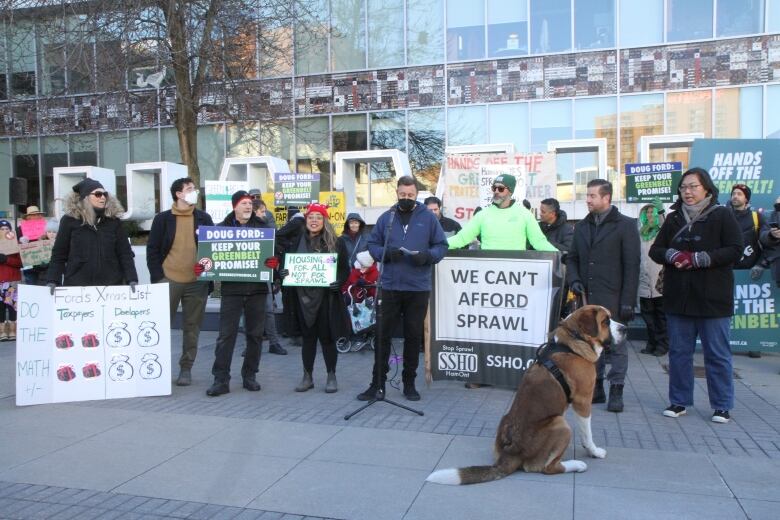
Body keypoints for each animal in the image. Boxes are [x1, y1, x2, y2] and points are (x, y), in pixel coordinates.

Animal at [424, 302, 624, 486]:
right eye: (605, 321)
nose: (625, 328)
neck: (572, 341)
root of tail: (511, 452)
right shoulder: (583, 401)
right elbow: (587, 433)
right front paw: (594, 451)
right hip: (560, 423)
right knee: (549, 468)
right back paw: (577, 465)